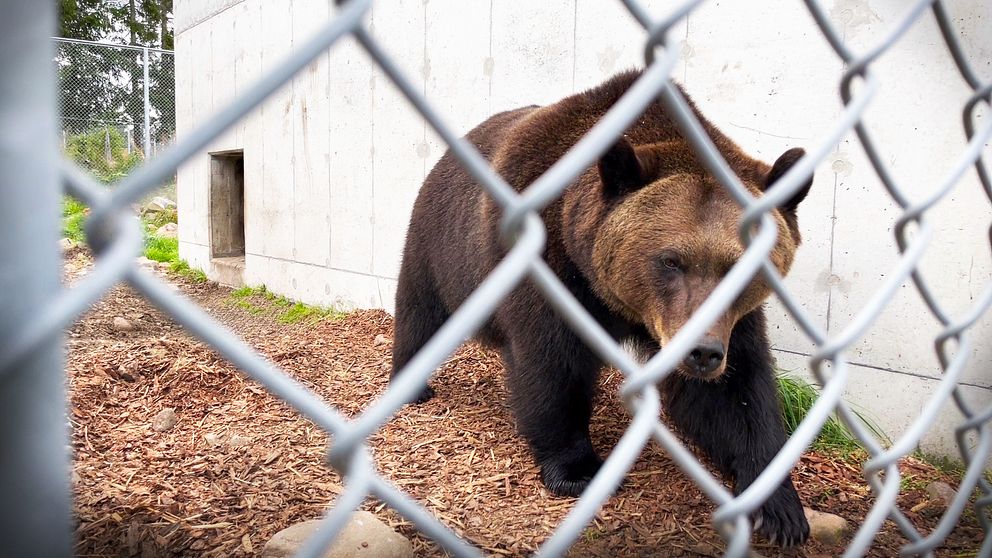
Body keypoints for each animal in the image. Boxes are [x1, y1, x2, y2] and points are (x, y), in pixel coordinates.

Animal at [390, 69, 812, 548]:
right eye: (670, 260)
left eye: (741, 267)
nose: (701, 352)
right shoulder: (548, 268)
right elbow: (553, 367)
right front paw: (579, 468)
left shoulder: (728, 321)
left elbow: (734, 394)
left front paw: (780, 509)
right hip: (438, 244)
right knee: (420, 313)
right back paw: (412, 384)